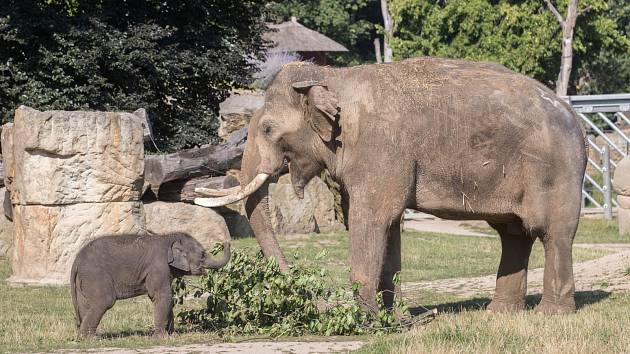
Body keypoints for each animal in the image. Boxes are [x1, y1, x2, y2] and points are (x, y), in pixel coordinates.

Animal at [70, 232, 231, 338]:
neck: (169, 237)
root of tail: (77, 260)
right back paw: (90, 339)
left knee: (85, 305)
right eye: (203, 254)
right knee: (103, 302)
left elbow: (167, 299)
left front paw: (173, 336)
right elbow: (162, 296)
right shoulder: (158, 266)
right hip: (95, 275)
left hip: (84, 280)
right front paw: (162, 338)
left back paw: (83, 337)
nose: (225, 242)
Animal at [196, 58, 588, 316]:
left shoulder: (380, 148)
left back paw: (553, 315)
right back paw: (499, 314)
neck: (335, 77)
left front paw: (366, 320)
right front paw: (394, 319)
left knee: (553, 233)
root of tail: (575, 117)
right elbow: (389, 224)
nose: (319, 302)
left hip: (558, 171)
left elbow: (372, 219)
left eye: (266, 129)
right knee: (514, 233)